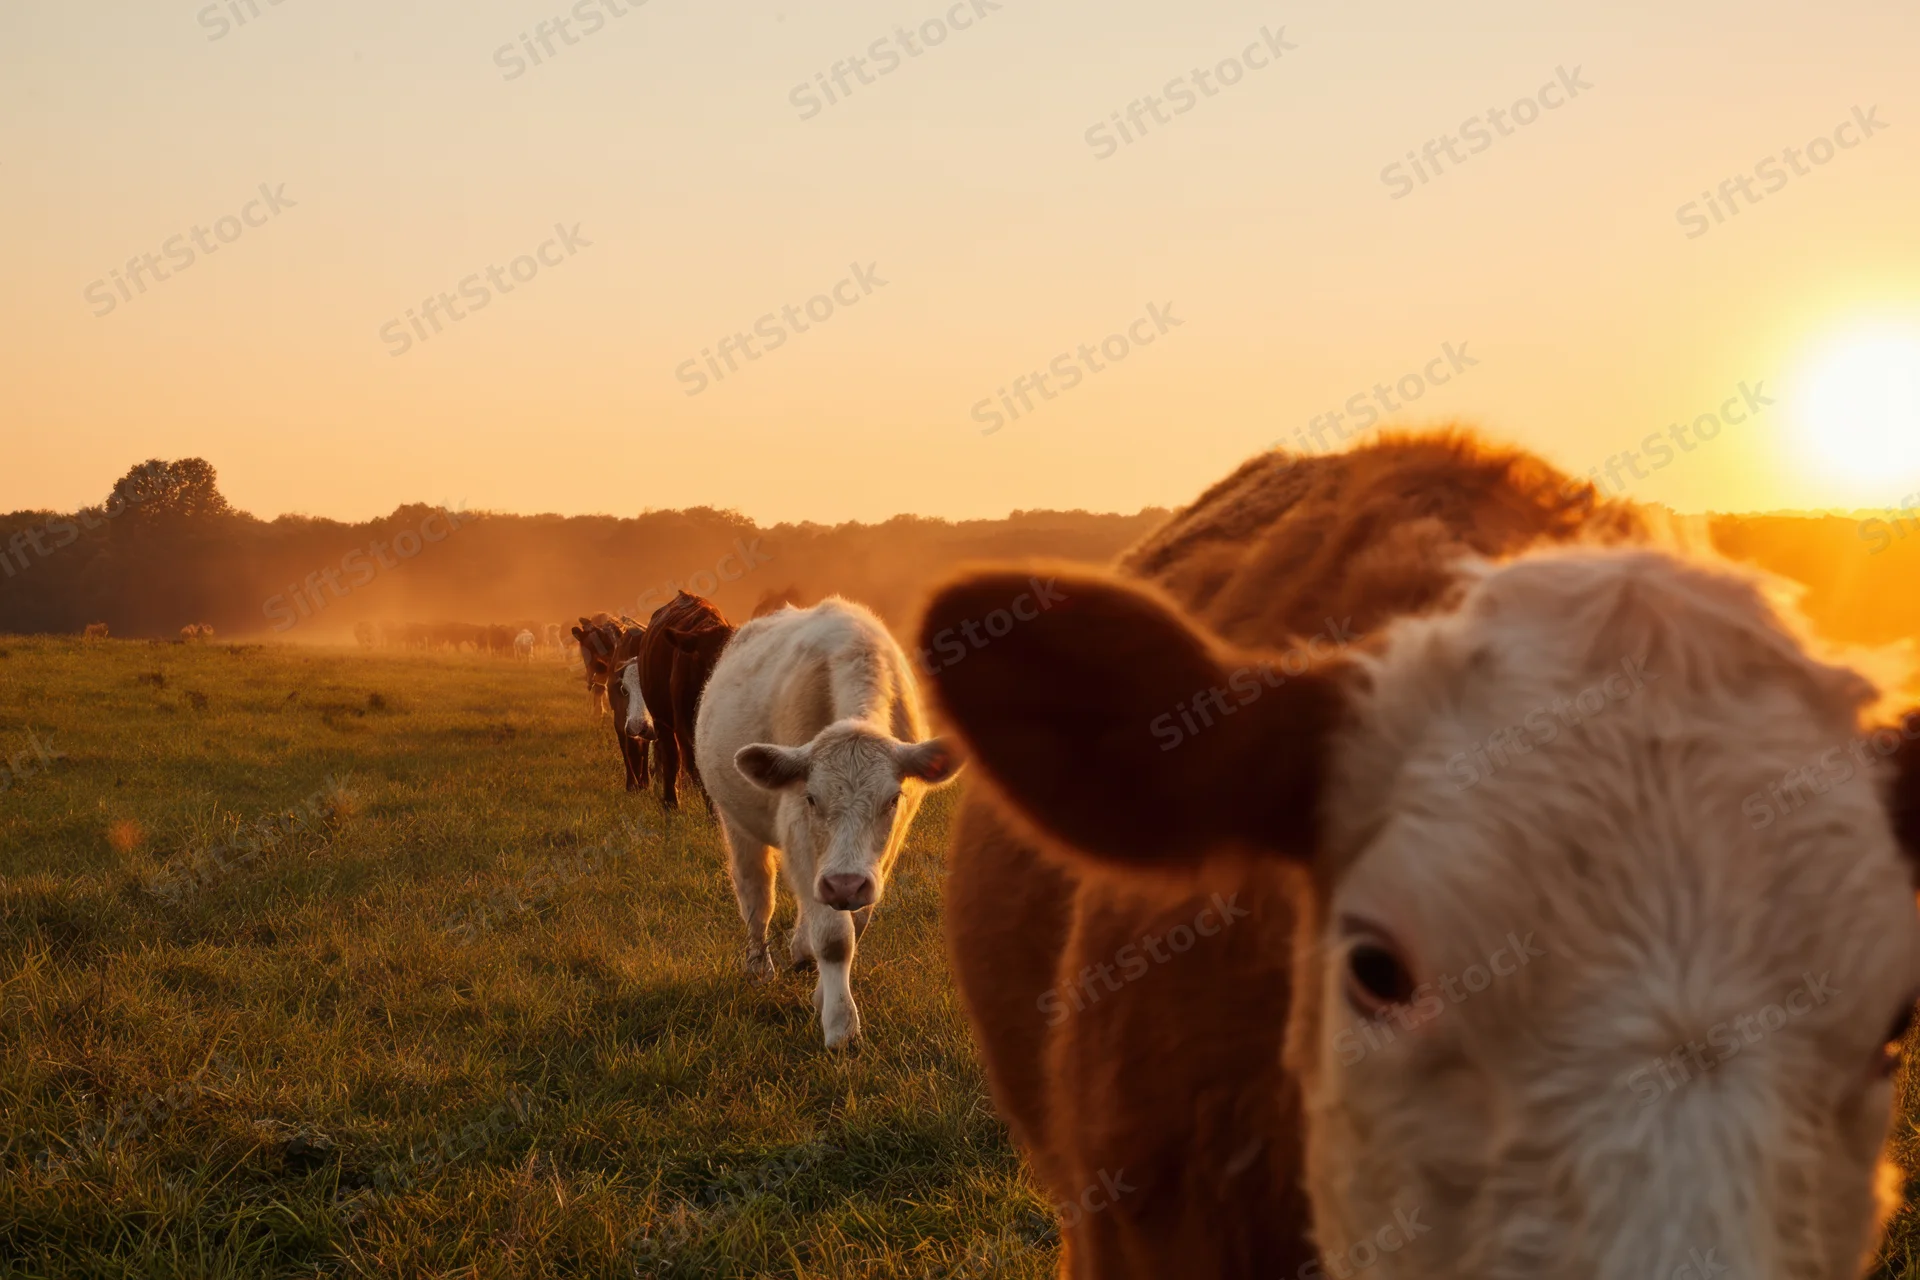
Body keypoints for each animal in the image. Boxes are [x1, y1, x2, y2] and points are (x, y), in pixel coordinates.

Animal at [695, 598, 961, 1047]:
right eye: (811, 797)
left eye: (893, 799)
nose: (844, 884)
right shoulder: (798, 831)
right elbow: (835, 937)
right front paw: (841, 1024)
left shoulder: (879, 856)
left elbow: (855, 921)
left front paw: (823, 993)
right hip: (738, 824)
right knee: (756, 896)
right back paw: (759, 966)